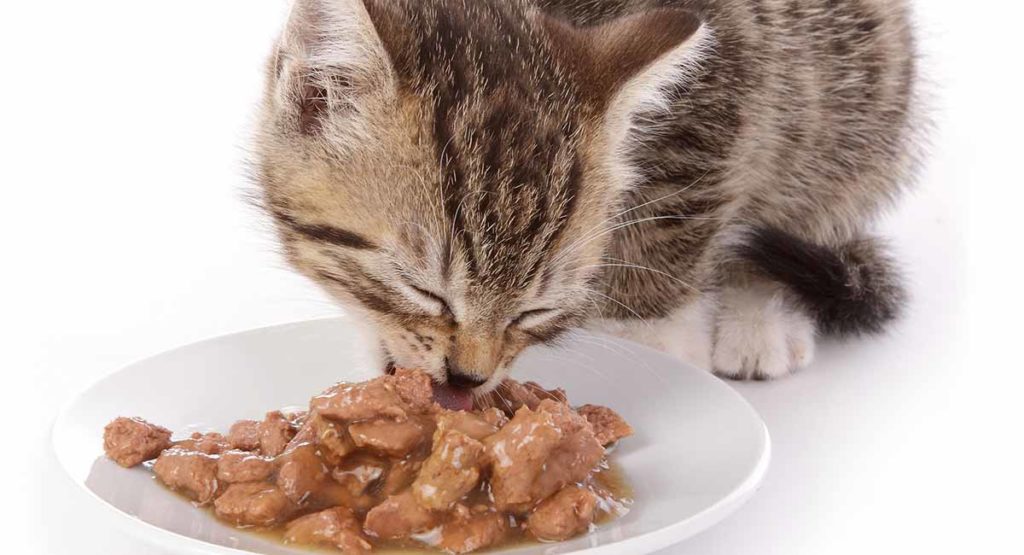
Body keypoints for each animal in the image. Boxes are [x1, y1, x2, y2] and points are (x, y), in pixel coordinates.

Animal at [253, 0, 921, 393]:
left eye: (533, 309)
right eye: (424, 291)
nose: (466, 380)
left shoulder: (730, 75)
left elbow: (677, 218)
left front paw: (654, 347)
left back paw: (759, 313)